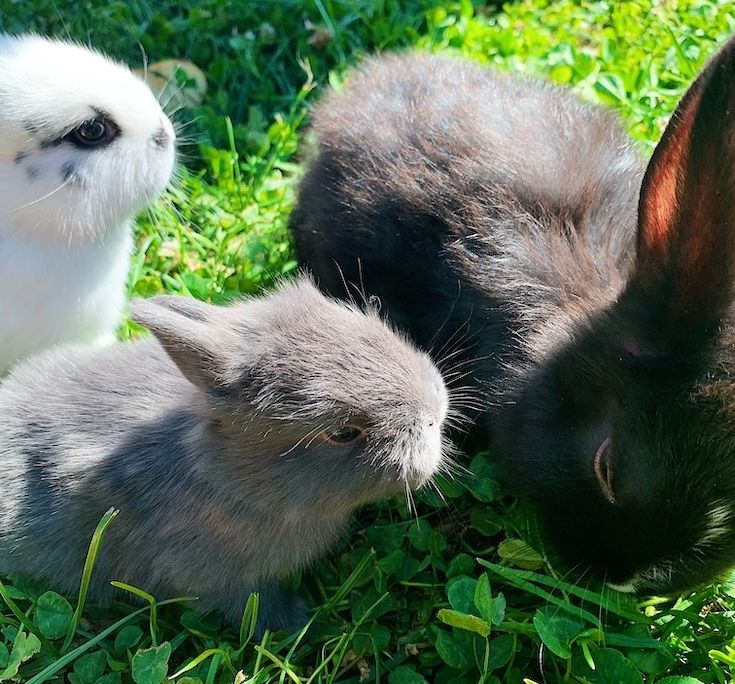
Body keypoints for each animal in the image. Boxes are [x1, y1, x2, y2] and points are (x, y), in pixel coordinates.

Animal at [0, 278, 448, 632]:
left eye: (371, 320)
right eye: (343, 433)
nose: (433, 413)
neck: (233, 479)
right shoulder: (226, 581)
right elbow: (252, 606)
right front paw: (299, 624)